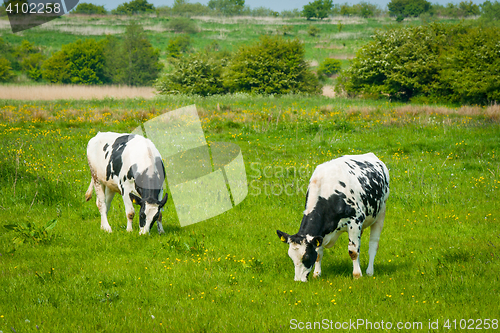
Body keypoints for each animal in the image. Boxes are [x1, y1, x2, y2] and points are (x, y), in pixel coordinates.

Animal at [278, 152, 390, 280]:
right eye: (291, 257)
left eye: (305, 257)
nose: (298, 280)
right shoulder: (321, 234)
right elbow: (319, 253)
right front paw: (317, 274)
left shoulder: (355, 221)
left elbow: (353, 251)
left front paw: (357, 275)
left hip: (381, 213)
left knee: (373, 244)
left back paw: (369, 271)